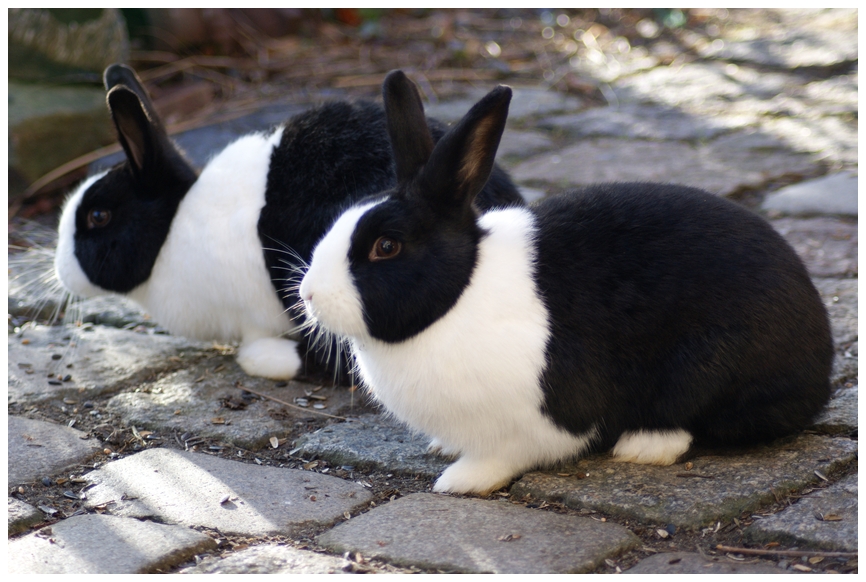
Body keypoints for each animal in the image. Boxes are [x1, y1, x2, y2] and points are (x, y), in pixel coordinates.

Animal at [296, 69, 832, 498]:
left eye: (386, 246)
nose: (308, 294)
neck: (460, 294)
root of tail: (821, 360)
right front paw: (442, 447)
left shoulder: (538, 418)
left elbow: (507, 453)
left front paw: (459, 480)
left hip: (712, 368)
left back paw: (642, 445)